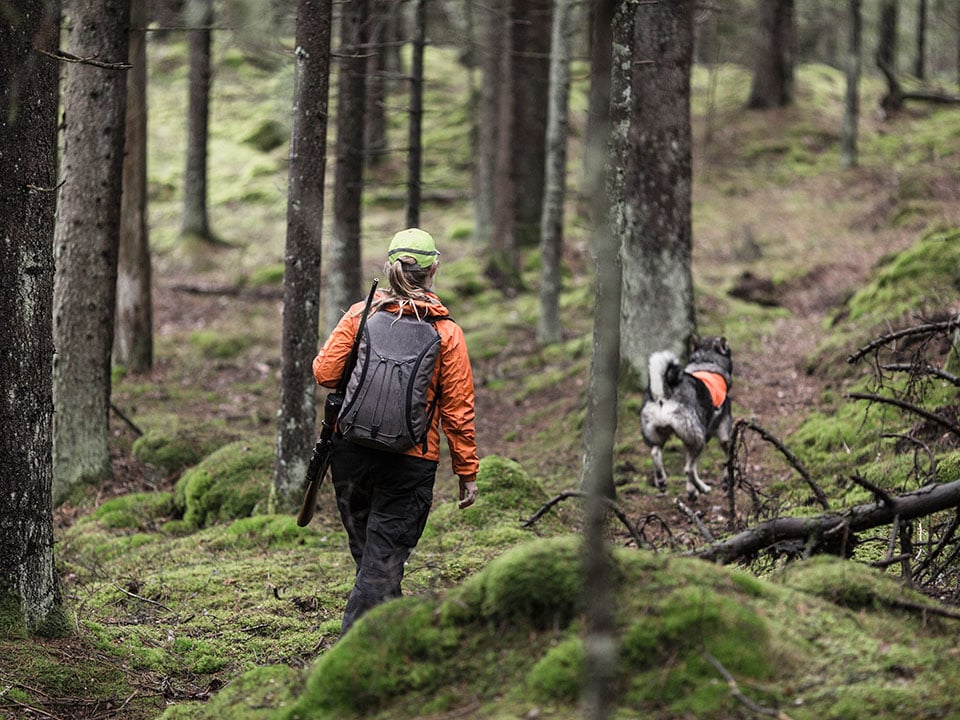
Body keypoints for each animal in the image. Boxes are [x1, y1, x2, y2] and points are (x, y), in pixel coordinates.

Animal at [636, 336, 736, 500]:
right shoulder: (724, 435)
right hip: (699, 439)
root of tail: (664, 392)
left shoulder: (688, 442)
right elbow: (727, 460)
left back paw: (661, 480)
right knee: (688, 469)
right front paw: (725, 480)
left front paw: (691, 491)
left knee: (655, 452)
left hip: (658, 435)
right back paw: (703, 487)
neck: (706, 361)